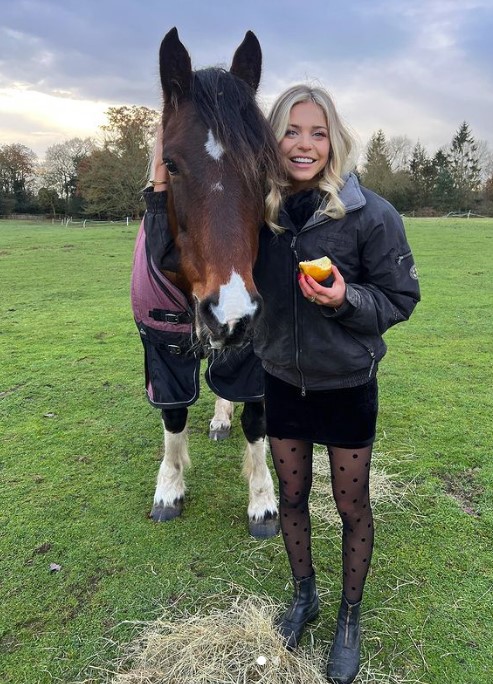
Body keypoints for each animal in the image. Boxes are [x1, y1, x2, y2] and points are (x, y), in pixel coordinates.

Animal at [136, 28, 282, 540]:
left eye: (264, 165)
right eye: (172, 164)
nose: (231, 313)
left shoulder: (253, 348)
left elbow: (257, 418)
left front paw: (263, 501)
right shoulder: (160, 343)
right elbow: (174, 412)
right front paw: (168, 488)